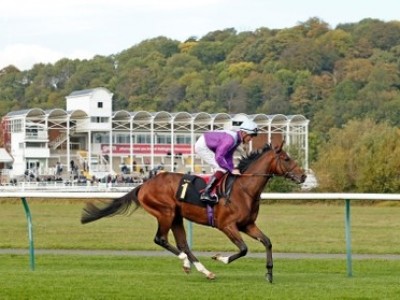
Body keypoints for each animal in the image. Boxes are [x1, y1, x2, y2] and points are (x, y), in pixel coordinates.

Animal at [81, 142, 306, 282]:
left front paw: (269, 274)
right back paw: (186, 261)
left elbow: (267, 242)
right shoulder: (227, 225)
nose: (303, 176)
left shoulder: (247, 225)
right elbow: (243, 249)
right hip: (165, 212)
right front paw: (220, 258)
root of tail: (143, 185)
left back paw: (203, 270)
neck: (243, 189)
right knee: (161, 239)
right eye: (286, 158)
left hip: (177, 217)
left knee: (183, 244)